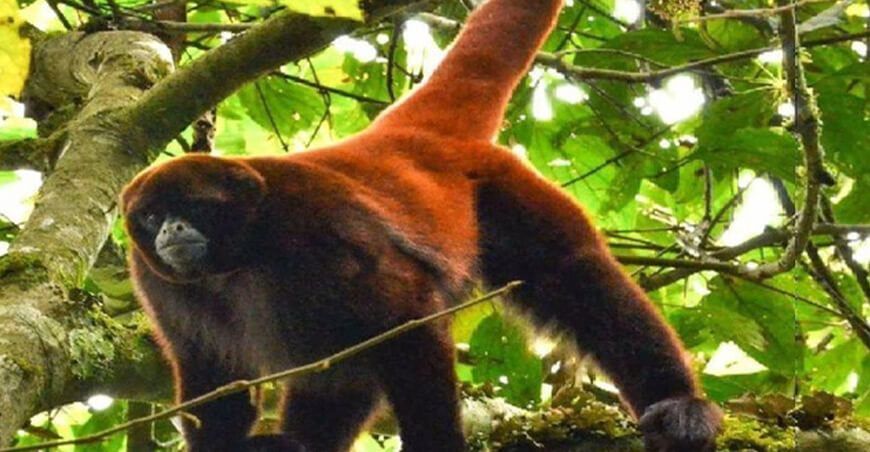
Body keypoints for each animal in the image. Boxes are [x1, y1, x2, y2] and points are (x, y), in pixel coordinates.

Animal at [121, 0, 723, 451]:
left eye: (191, 206)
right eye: (150, 217)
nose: (170, 231)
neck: (243, 253)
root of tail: (402, 137)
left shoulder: (314, 227)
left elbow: (405, 314)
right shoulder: (157, 282)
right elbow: (212, 373)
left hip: (499, 186)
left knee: (572, 274)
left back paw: (679, 404)